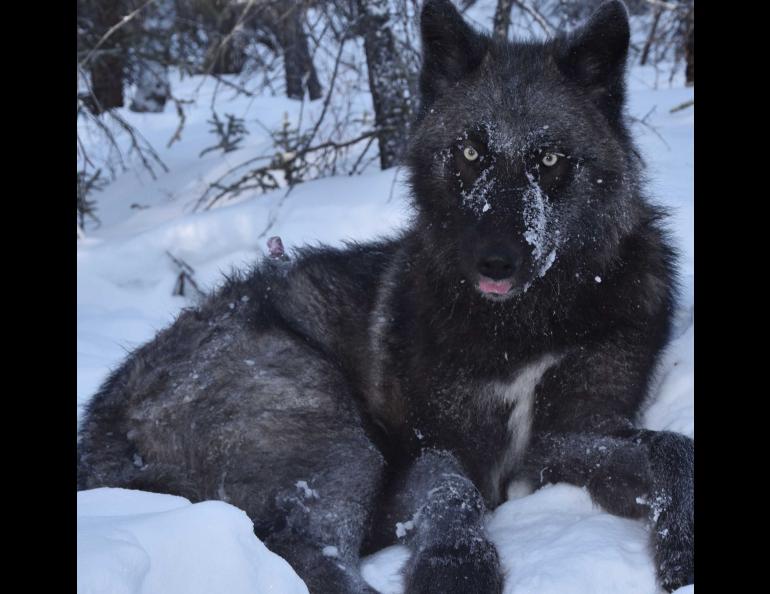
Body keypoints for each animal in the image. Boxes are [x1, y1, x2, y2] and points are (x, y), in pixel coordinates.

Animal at [76, 2, 688, 588]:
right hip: (331, 426)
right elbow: (451, 494)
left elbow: (672, 447)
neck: (523, 323)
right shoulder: (436, 444)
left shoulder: (567, 435)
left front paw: (680, 550)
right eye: (470, 154)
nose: (495, 260)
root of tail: (97, 435)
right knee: (307, 547)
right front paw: (454, 566)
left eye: (551, 160)